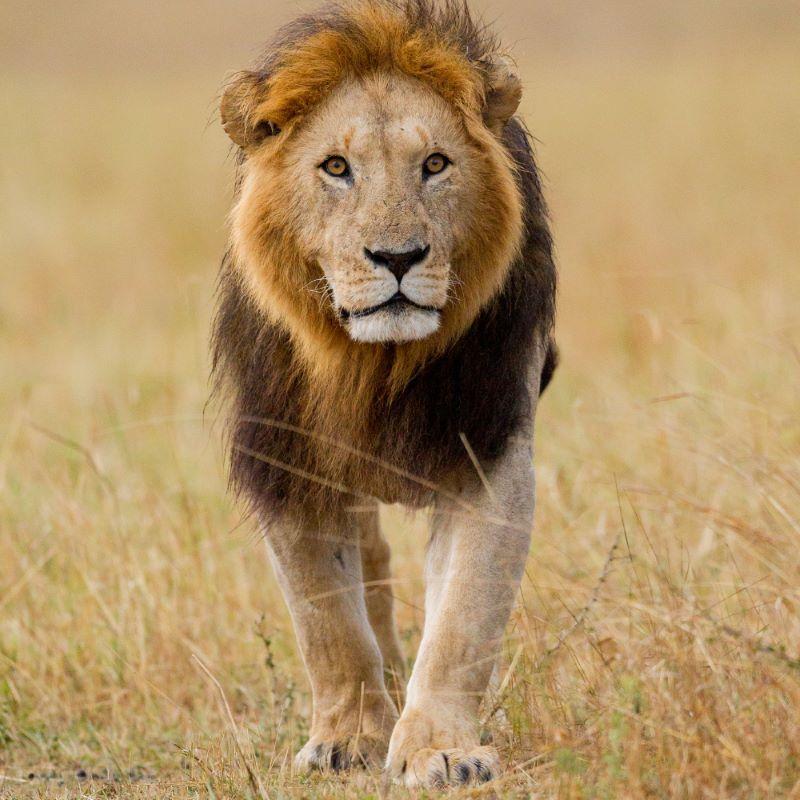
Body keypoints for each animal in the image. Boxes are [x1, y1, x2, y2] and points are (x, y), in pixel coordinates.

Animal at [212, 0, 557, 788]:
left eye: (435, 164)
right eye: (337, 168)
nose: (397, 258)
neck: (371, 364)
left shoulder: (489, 451)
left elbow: (462, 620)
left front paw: (441, 748)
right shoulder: (286, 461)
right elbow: (327, 622)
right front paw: (347, 738)